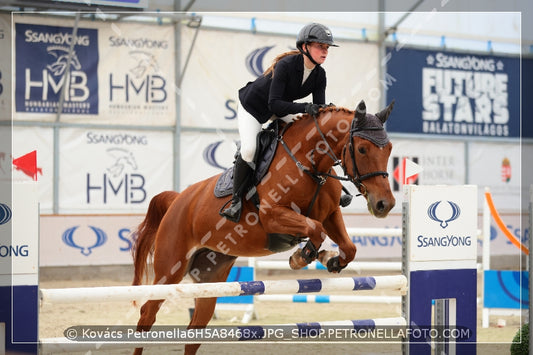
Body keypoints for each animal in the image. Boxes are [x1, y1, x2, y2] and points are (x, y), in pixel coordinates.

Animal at [129, 100, 394, 355]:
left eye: (390, 149)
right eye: (362, 149)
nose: (385, 204)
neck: (308, 162)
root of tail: (177, 200)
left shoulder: (330, 214)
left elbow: (347, 246)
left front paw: (330, 259)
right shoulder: (272, 216)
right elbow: (315, 229)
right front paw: (300, 258)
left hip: (210, 281)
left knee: (194, 332)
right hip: (170, 272)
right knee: (146, 315)